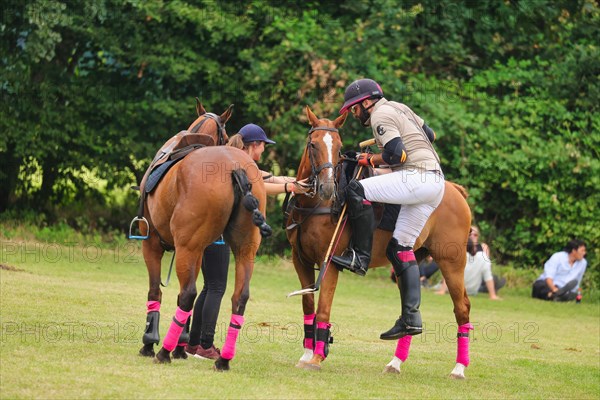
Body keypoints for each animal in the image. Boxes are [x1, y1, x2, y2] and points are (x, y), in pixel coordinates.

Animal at [137, 103, 270, 372]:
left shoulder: (153, 243)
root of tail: (235, 167)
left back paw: (163, 352)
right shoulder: (197, 250)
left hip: (184, 248)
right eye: (227, 135)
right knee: (239, 297)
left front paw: (150, 342)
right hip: (243, 250)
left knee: (187, 294)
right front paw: (181, 346)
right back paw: (223, 359)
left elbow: (155, 292)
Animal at [286, 105, 474, 378]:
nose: (327, 189)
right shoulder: (299, 259)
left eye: (339, 147)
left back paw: (459, 368)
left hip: (452, 260)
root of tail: (455, 191)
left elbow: (323, 308)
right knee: (410, 298)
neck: (312, 206)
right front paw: (306, 354)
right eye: (313, 144)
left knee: (462, 308)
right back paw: (395, 362)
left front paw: (318, 357)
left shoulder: (329, 262)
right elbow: (308, 305)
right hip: (413, 253)